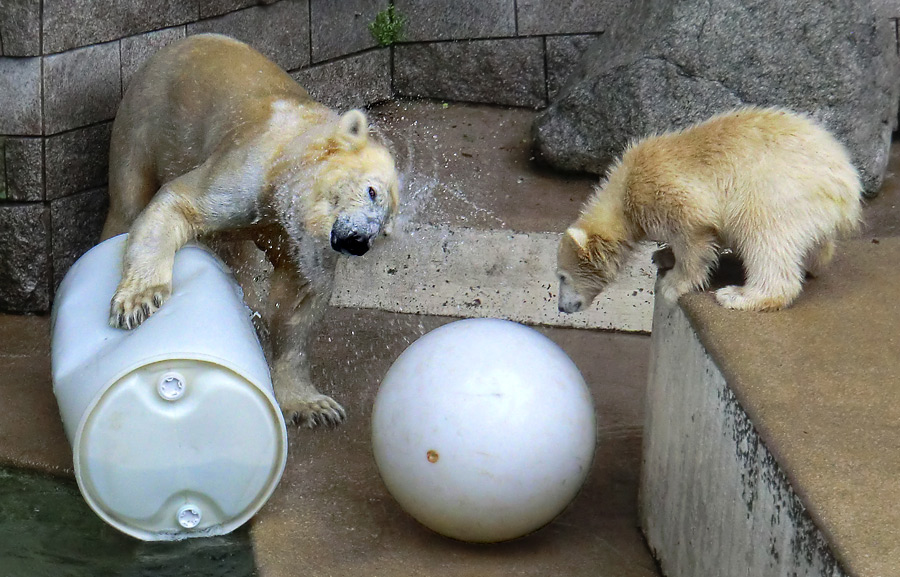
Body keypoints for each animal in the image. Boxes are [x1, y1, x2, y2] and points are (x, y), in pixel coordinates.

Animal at [100, 32, 400, 428]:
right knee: (127, 202)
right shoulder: (247, 171)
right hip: (144, 122)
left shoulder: (296, 238)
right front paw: (138, 301)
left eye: (384, 231)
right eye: (371, 191)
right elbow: (179, 203)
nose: (360, 242)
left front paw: (313, 406)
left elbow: (298, 300)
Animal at [560, 107, 860, 316]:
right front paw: (663, 256)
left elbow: (693, 237)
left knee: (764, 236)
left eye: (561, 276)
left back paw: (740, 296)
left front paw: (673, 284)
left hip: (775, 188)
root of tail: (847, 181)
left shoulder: (665, 192)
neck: (623, 190)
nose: (562, 307)